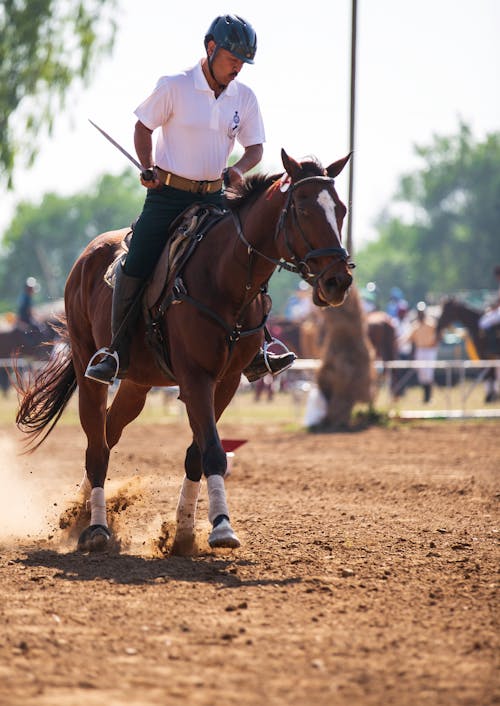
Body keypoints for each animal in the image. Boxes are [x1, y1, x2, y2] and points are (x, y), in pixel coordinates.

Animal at [15, 151, 352, 552]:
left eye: (342, 209)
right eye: (302, 209)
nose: (338, 281)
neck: (225, 278)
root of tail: (86, 257)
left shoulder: (226, 382)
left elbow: (198, 454)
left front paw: (185, 532)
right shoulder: (195, 378)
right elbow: (214, 451)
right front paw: (221, 527)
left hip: (137, 382)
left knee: (108, 434)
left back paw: (78, 512)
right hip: (89, 369)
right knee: (96, 446)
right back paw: (96, 527)